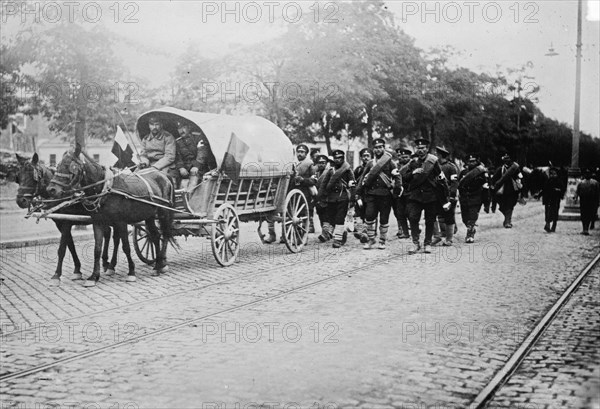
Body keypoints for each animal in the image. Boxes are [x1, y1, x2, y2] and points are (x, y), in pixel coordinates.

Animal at [14, 151, 120, 286]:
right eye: (18, 177)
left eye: (34, 177)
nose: (20, 200)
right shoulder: (61, 224)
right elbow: (70, 246)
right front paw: (77, 270)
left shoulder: (66, 223)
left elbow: (62, 249)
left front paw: (56, 275)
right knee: (108, 233)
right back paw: (106, 263)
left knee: (116, 238)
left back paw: (111, 265)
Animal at [47, 147, 175, 286]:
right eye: (57, 165)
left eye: (69, 167)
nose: (51, 189)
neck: (105, 190)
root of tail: (163, 175)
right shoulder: (97, 222)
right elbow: (97, 249)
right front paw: (93, 276)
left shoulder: (121, 222)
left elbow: (126, 247)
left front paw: (131, 272)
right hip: (149, 216)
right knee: (155, 236)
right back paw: (157, 266)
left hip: (163, 212)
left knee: (165, 234)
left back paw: (162, 264)